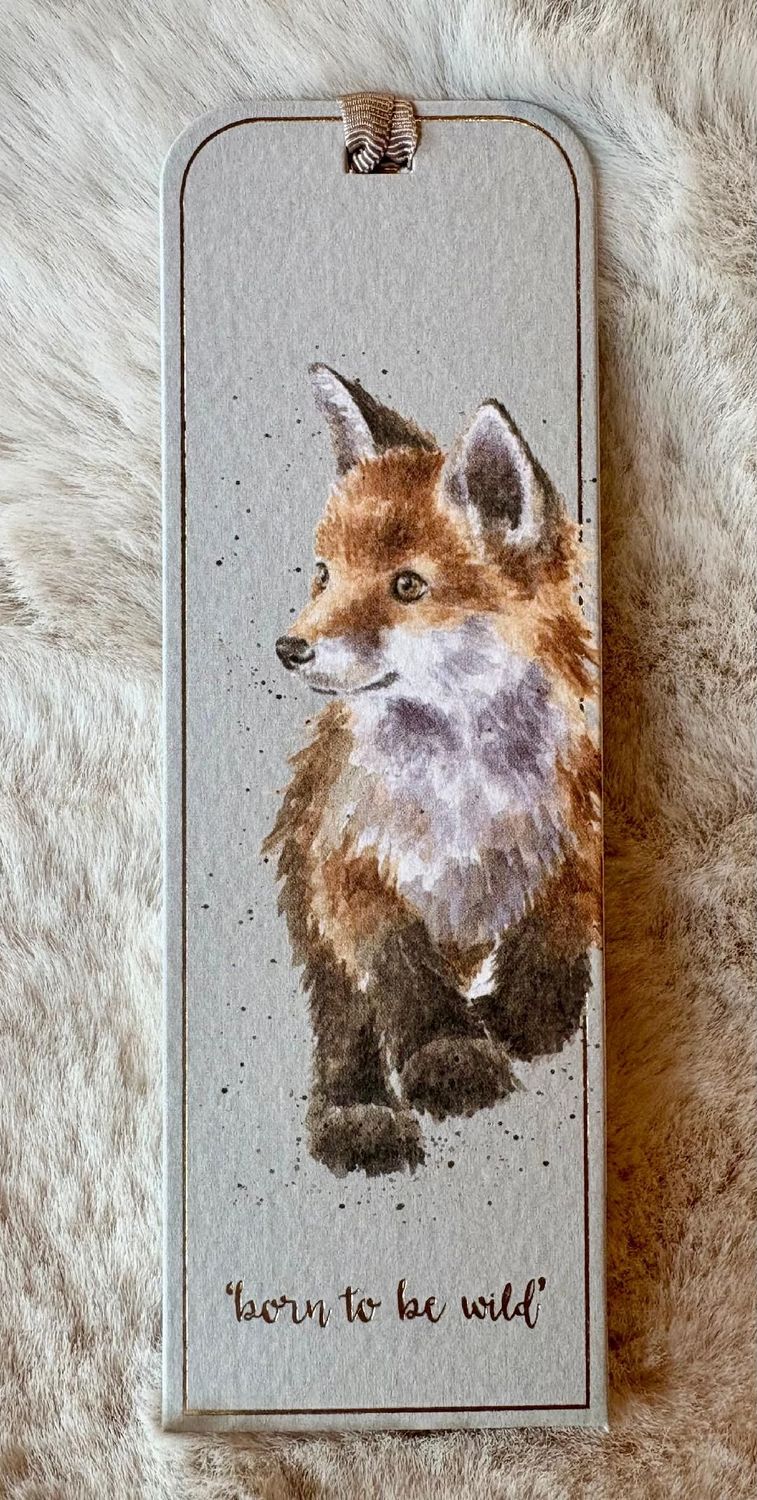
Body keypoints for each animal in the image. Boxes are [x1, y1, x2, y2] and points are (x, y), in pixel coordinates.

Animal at [265, 364, 602, 1178]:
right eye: (324, 575)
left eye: (408, 586)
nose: (289, 648)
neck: (461, 789)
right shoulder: (351, 867)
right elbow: (402, 971)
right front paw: (450, 1057)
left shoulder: (576, 835)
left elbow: (555, 930)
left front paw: (528, 1018)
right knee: (345, 1024)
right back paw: (358, 1113)